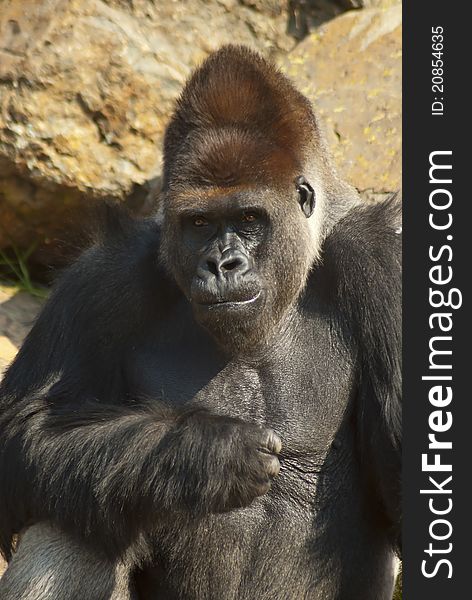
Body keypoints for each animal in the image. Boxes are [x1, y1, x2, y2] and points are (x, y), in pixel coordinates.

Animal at [0, 44, 402, 596]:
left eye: (249, 219)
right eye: (199, 223)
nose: (221, 264)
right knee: (74, 513)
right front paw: (201, 455)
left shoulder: (384, 263)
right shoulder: (105, 276)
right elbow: (25, 429)